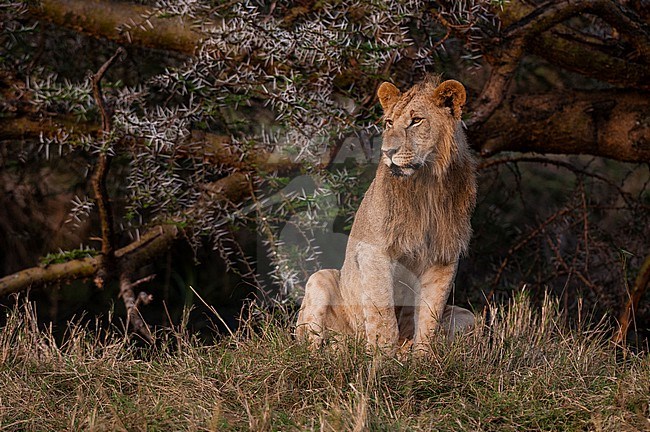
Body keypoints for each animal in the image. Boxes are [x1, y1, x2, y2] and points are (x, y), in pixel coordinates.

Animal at [294, 75, 476, 352]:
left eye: (416, 120)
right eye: (389, 122)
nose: (388, 152)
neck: (426, 184)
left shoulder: (443, 257)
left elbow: (430, 316)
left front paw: (421, 357)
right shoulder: (375, 251)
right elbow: (383, 316)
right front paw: (382, 358)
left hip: (468, 317)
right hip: (320, 280)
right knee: (310, 345)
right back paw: (340, 349)